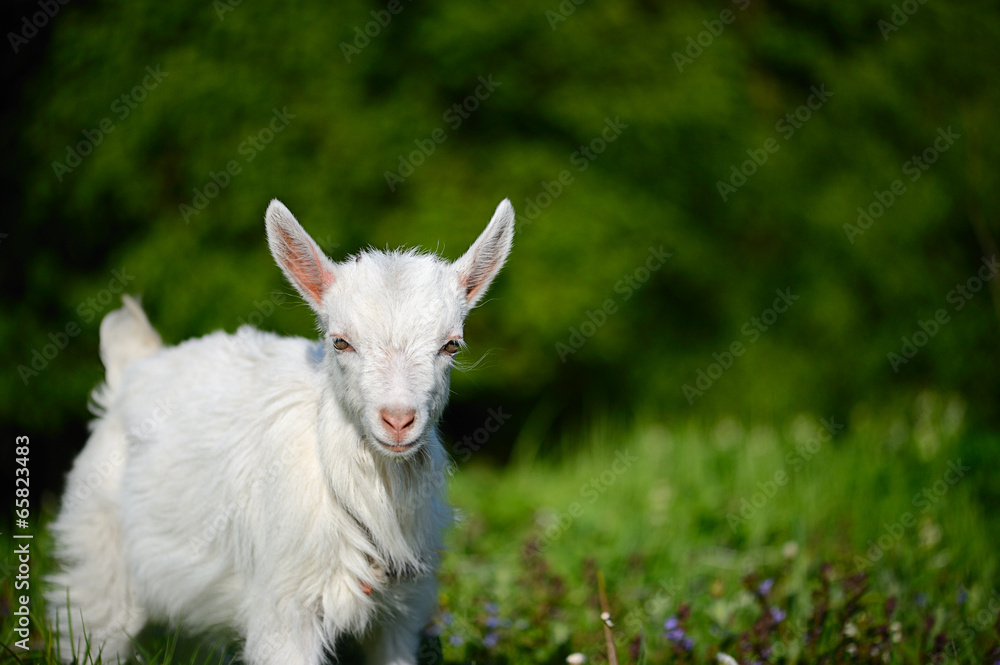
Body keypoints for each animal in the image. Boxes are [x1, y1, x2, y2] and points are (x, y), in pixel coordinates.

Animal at [47, 198, 515, 664]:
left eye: (451, 345)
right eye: (340, 342)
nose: (398, 420)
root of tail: (132, 366)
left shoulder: (400, 614)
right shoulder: (284, 612)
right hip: (100, 560)